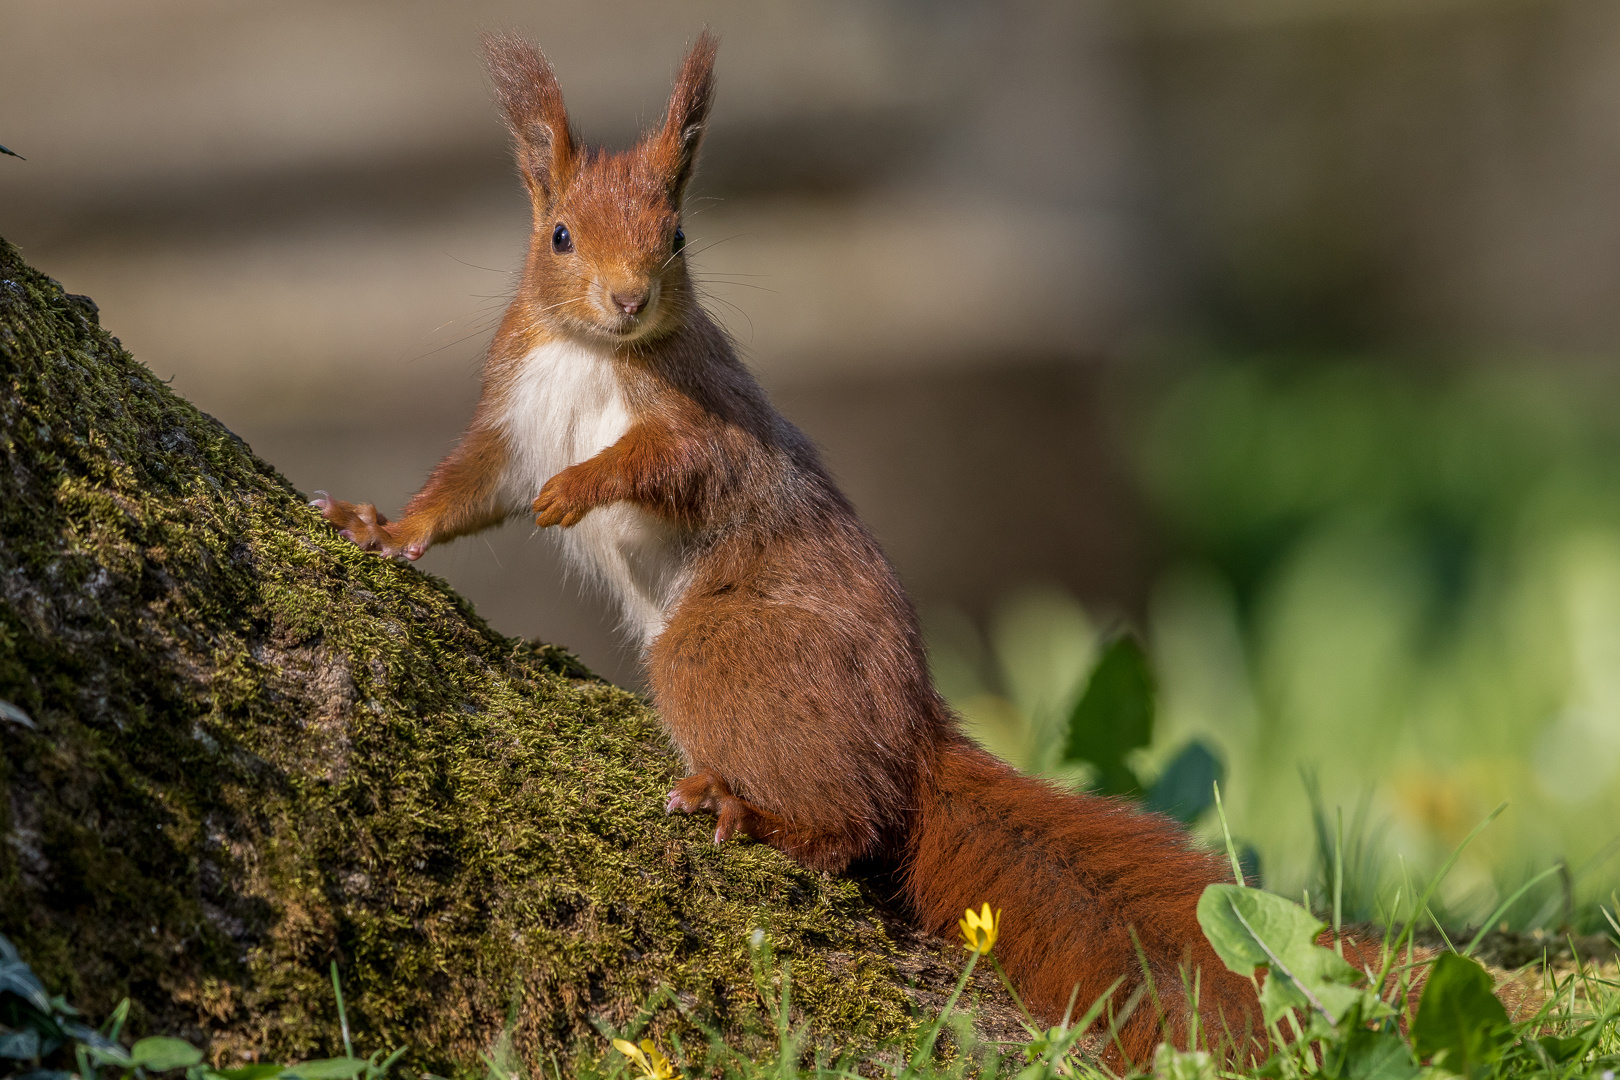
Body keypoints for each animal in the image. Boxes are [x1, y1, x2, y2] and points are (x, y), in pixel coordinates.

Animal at [312, 31, 1263, 1062]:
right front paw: (380, 527)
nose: (628, 298)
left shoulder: (707, 419)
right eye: (558, 234)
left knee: (852, 827)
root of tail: (911, 731)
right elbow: (466, 490)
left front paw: (579, 487)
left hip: (724, 652)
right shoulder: (513, 414)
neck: (593, 353)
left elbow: (669, 465)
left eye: (678, 237)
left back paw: (751, 812)